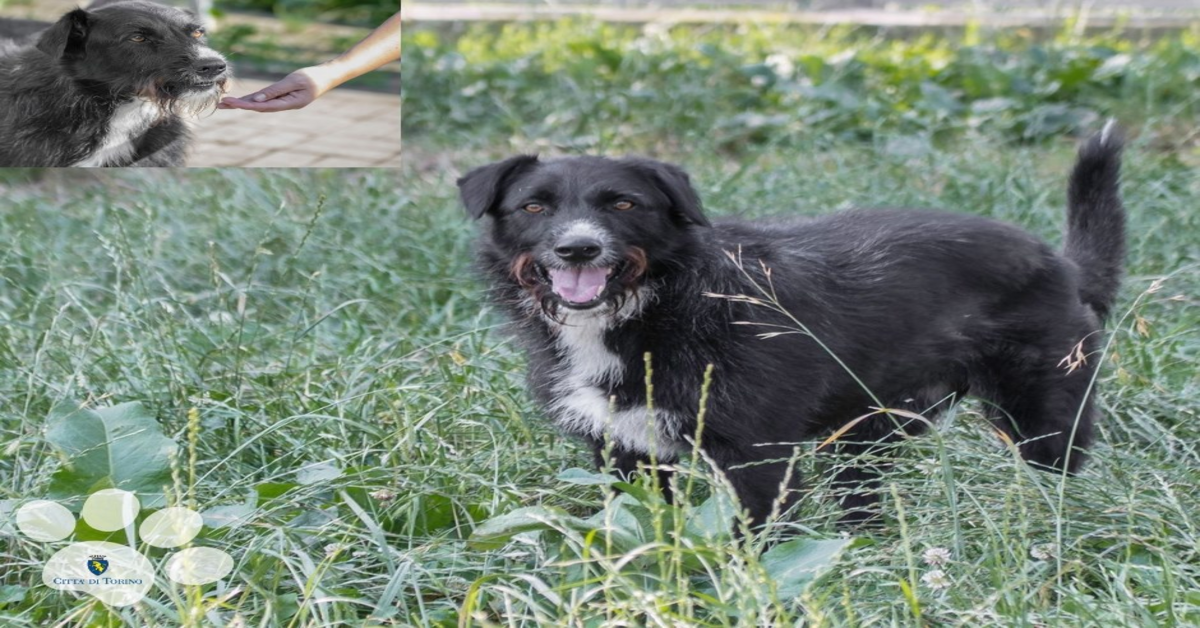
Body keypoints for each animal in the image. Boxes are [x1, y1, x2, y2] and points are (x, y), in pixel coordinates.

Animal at [456, 127, 1123, 525]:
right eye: (534, 206)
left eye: (623, 203)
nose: (578, 249)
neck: (659, 307)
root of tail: (1061, 263)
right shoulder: (623, 453)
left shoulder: (758, 459)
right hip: (868, 434)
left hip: (1045, 421)